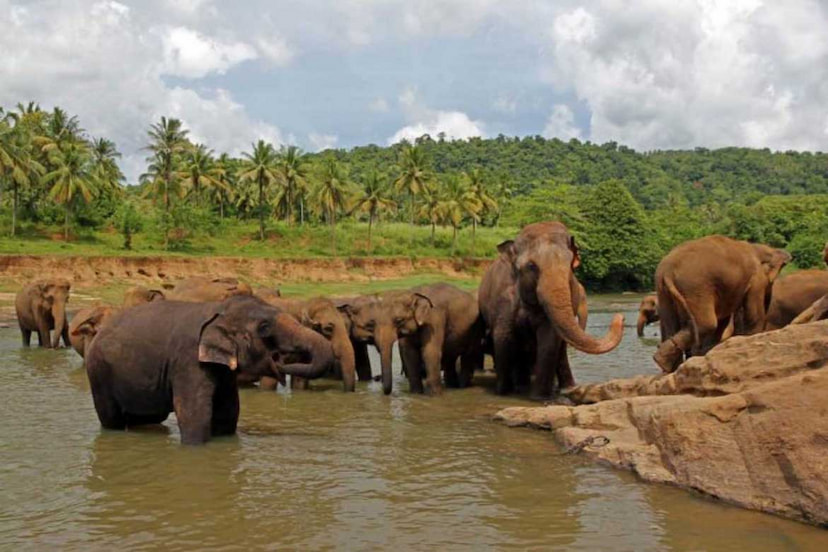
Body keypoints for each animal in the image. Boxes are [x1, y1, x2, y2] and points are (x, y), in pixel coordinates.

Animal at [85, 295, 335, 445]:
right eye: (264, 327)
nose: (282, 363)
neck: (217, 308)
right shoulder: (188, 361)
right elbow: (195, 416)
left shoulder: (222, 369)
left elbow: (228, 412)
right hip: (99, 373)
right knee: (111, 418)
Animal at [479, 222, 625, 397]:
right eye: (531, 266)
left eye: (569, 263)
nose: (621, 316)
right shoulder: (503, 298)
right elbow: (504, 336)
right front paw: (503, 393)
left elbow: (548, 339)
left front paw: (539, 397)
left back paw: (566, 388)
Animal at [653, 235, 791, 373]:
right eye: (771, 282)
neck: (757, 247)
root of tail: (667, 270)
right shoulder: (756, 279)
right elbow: (753, 317)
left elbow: (723, 321)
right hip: (695, 288)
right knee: (706, 324)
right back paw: (664, 362)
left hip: (663, 290)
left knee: (672, 325)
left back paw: (667, 366)